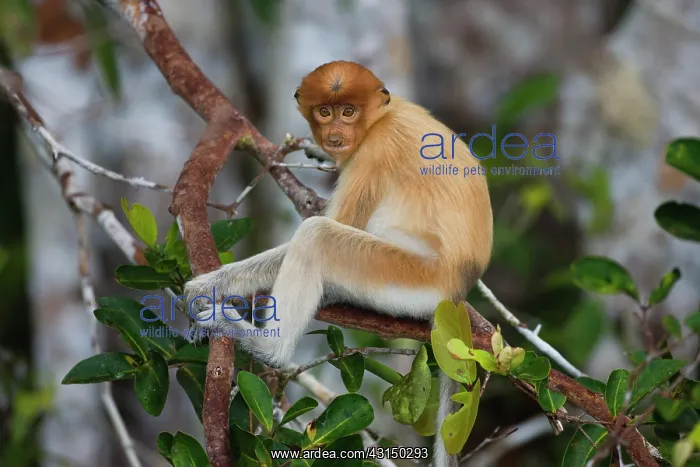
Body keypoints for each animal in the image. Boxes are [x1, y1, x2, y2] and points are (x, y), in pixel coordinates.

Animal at [184, 60, 493, 467]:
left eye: (349, 112)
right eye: (324, 111)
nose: (334, 135)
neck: (380, 118)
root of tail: (455, 291)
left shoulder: (376, 151)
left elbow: (337, 224)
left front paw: (204, 287)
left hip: (407, 274)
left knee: (318, 236)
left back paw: (269, 346)